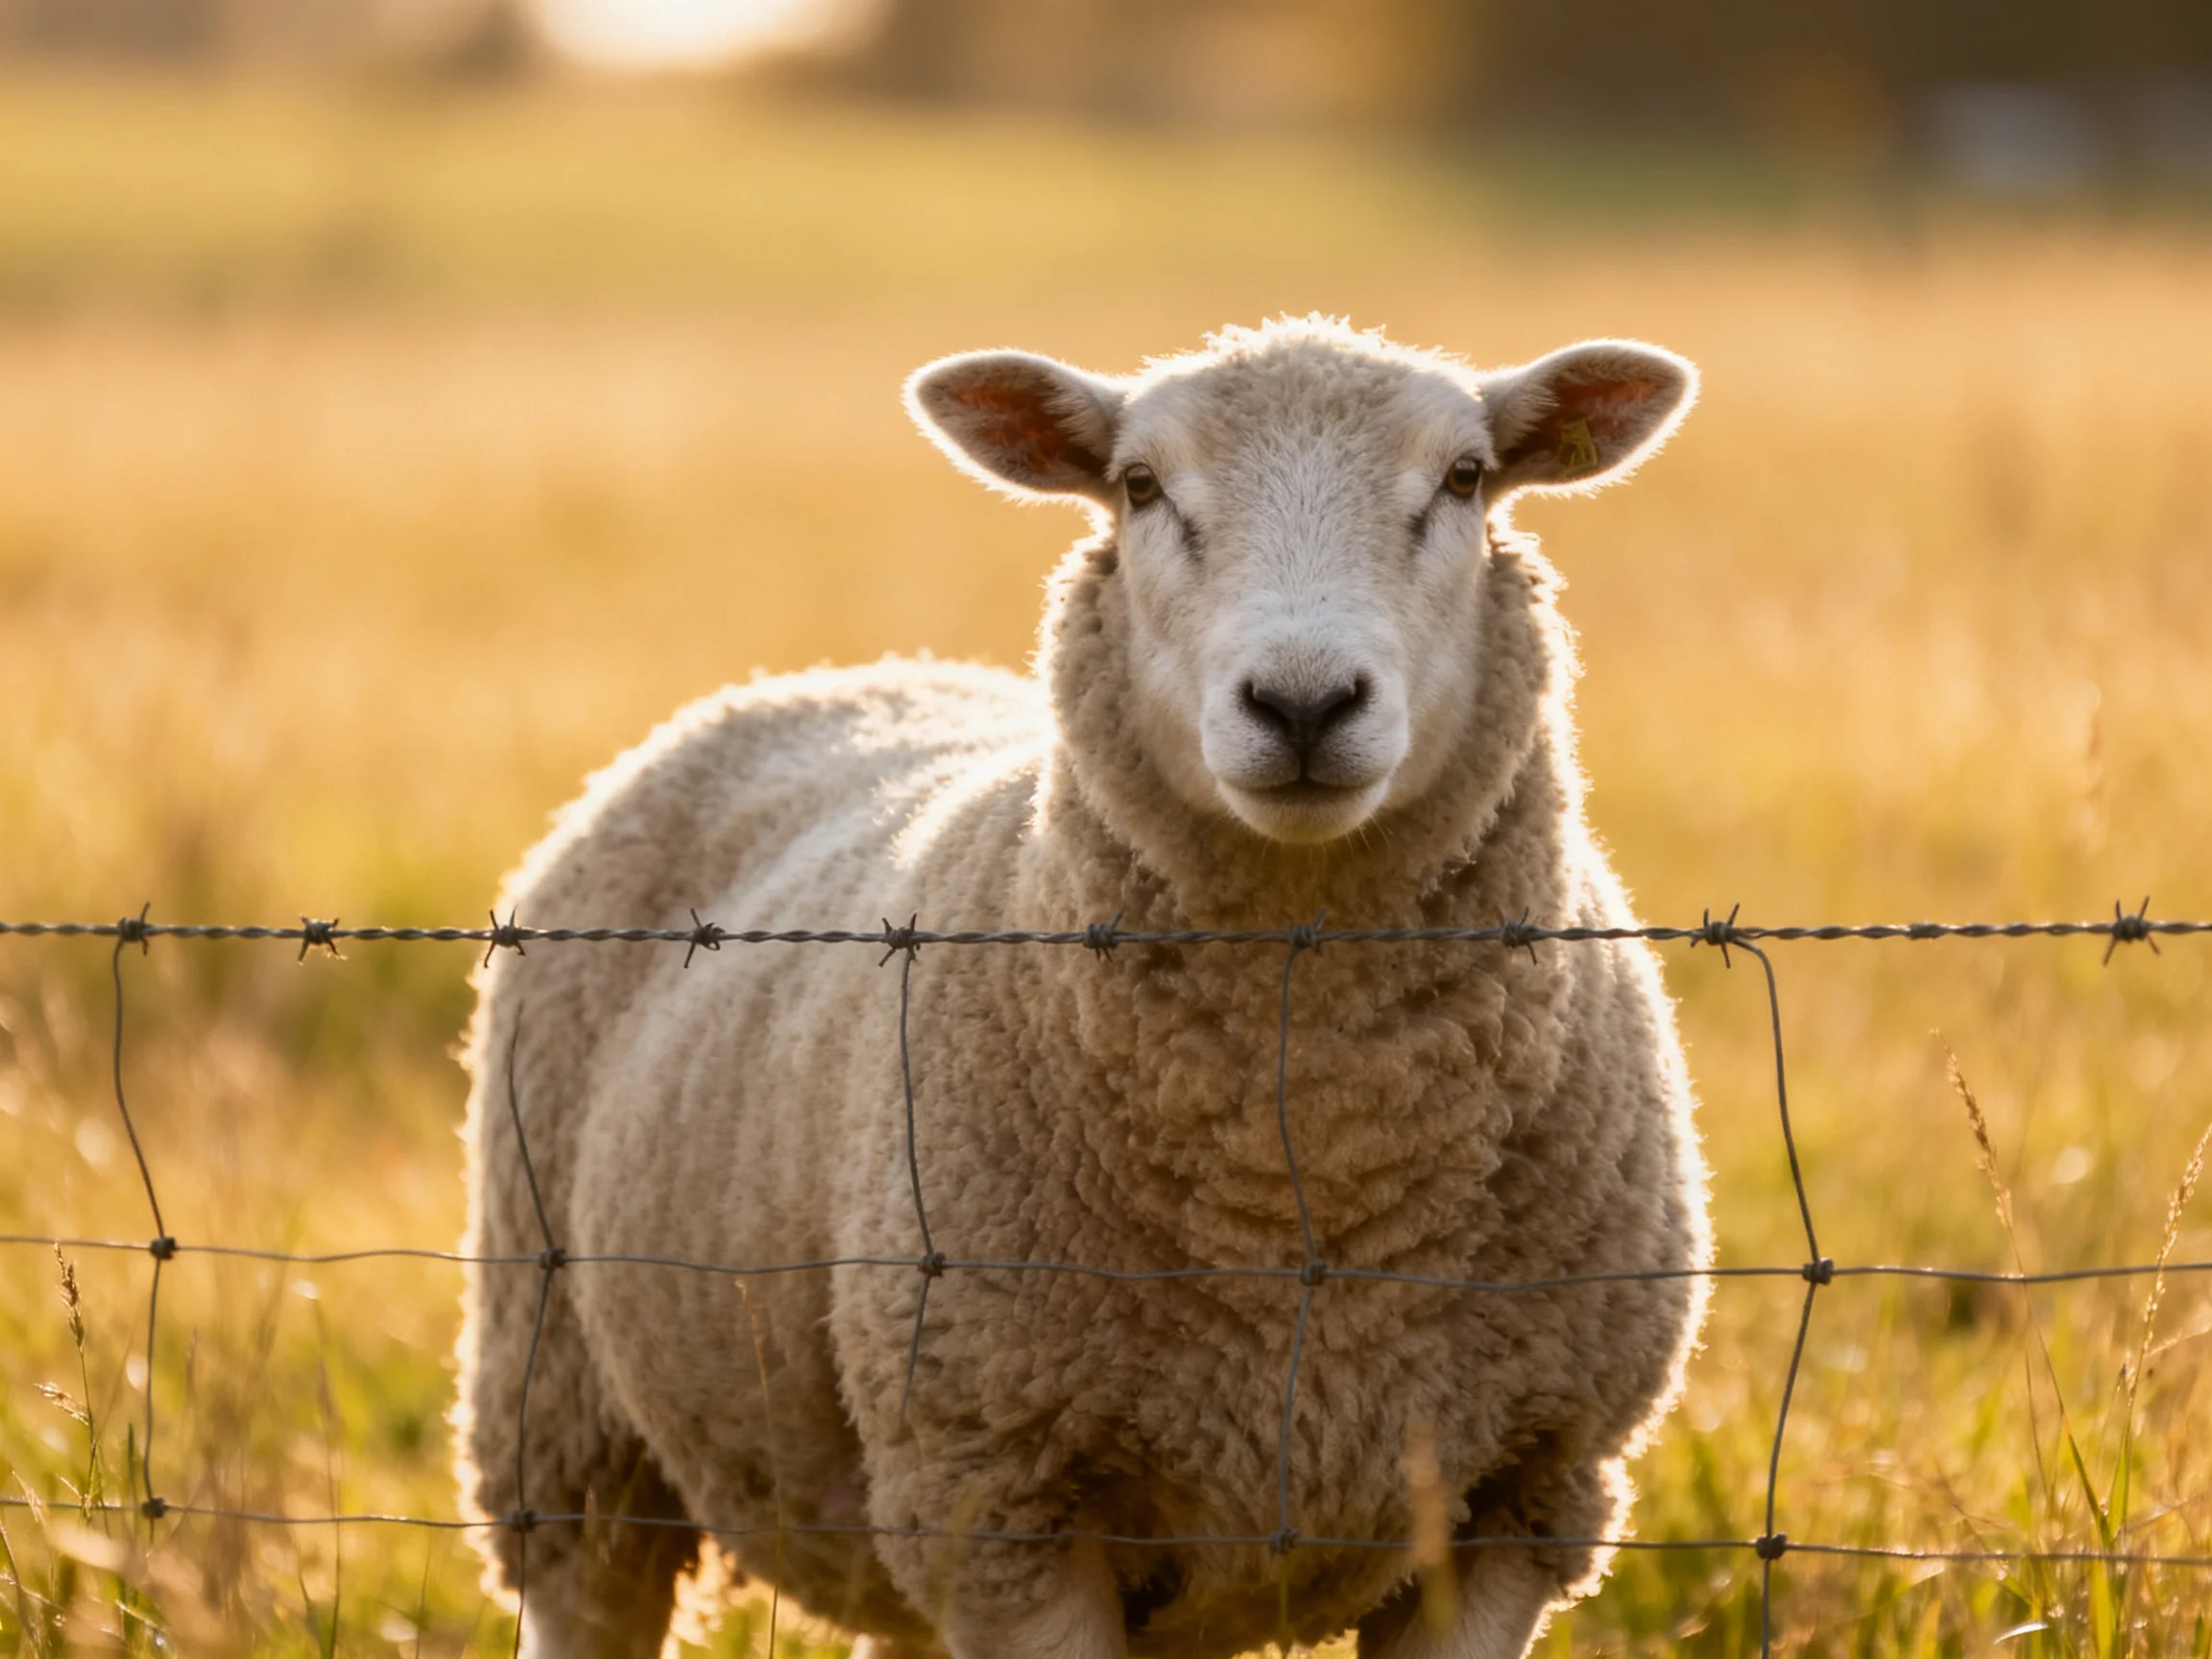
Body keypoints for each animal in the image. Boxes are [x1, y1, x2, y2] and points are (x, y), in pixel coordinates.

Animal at [453, 315, 1710, 1659]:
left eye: (1466, 478)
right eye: (1141, 486)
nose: (1303, 703)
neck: (1308, 1178)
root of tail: (829, 676)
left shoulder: (1521, 1496)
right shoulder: (999, 1497)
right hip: (567, 1422)